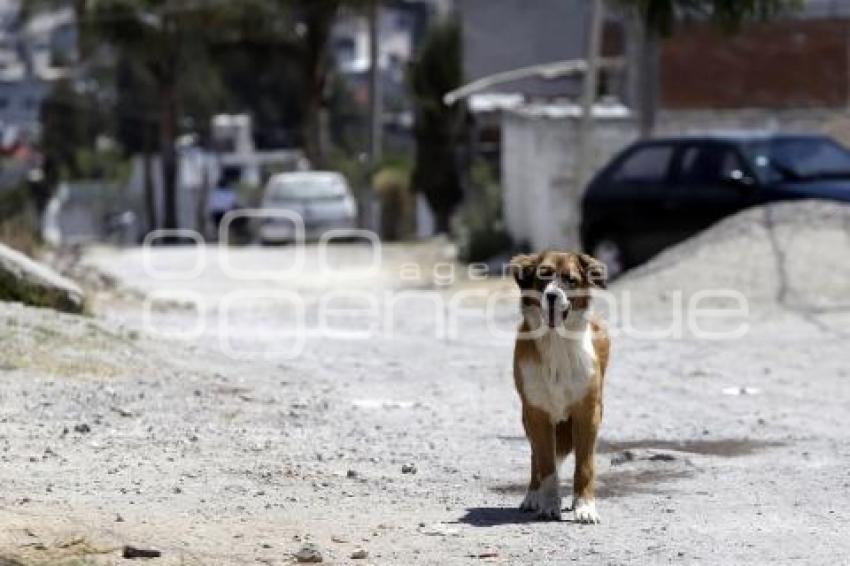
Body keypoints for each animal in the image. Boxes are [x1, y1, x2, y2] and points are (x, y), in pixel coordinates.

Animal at [506, 251, 608, 524]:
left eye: (570, 280)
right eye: (543, 277)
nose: (552, 295)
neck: (557, 343)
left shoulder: (587, 413)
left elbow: (584, 466)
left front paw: (585, 506)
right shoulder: (537, 413)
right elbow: (546, 465)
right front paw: (549, 504)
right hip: (527, 417)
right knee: (535, 460)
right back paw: (533, 496)